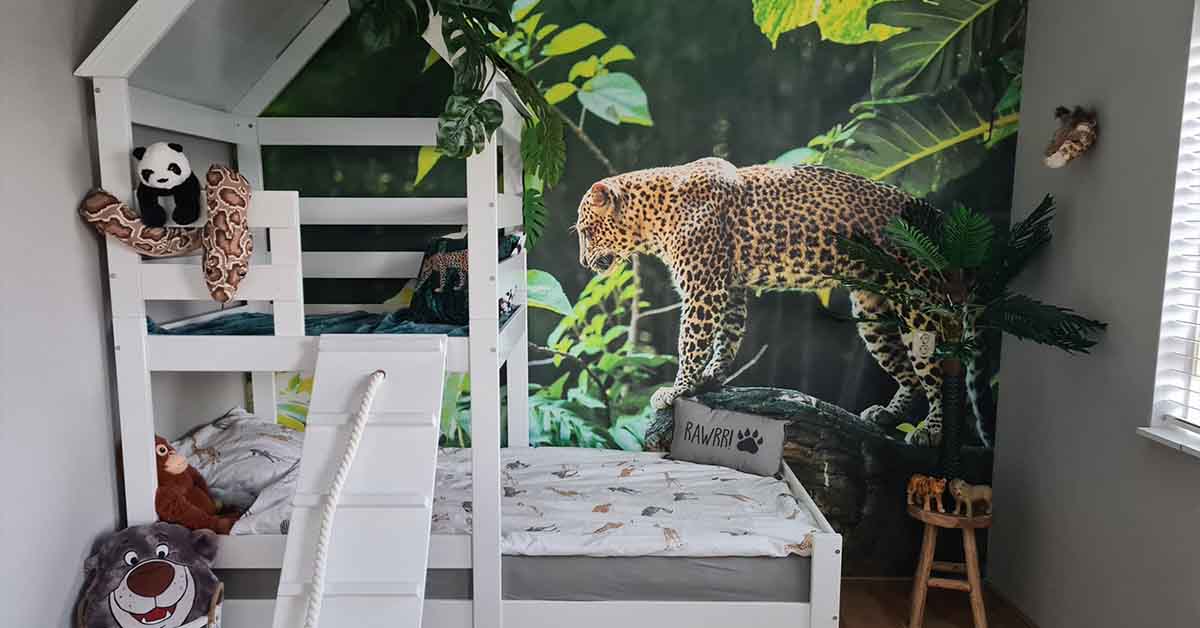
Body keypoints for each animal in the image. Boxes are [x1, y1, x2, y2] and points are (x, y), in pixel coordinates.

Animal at [574, 157, 947, 446]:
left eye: (586, 232)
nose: (582, 262)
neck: (654, 217)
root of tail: (931, 212)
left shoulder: (703, 290)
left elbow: (691, 342)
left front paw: (677, 390)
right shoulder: (729, 288)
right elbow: (727, 336)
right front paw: (711, 378)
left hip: (919, 304)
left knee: (939, 373)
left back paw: (931, 430)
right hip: (873, 312)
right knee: (911, 377)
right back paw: (887, 415)